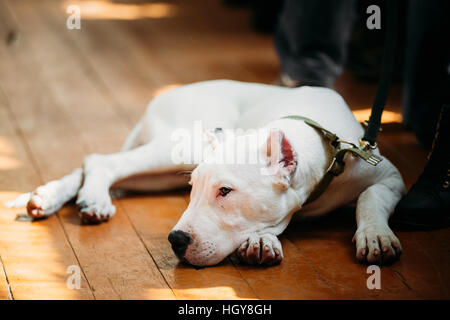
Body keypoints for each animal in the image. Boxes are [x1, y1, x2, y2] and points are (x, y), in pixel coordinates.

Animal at [5, 80, 406, 268]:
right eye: (193, 189)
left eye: (225, 191)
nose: (175, 241)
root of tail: (162, 97)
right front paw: (262, 240)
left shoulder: (389, 178)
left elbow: (369, 198)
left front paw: (375, 235)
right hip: (182, 144)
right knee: (103, 161)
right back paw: (88, 199)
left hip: (164, 169)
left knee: (101, 167)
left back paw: (54, 196)